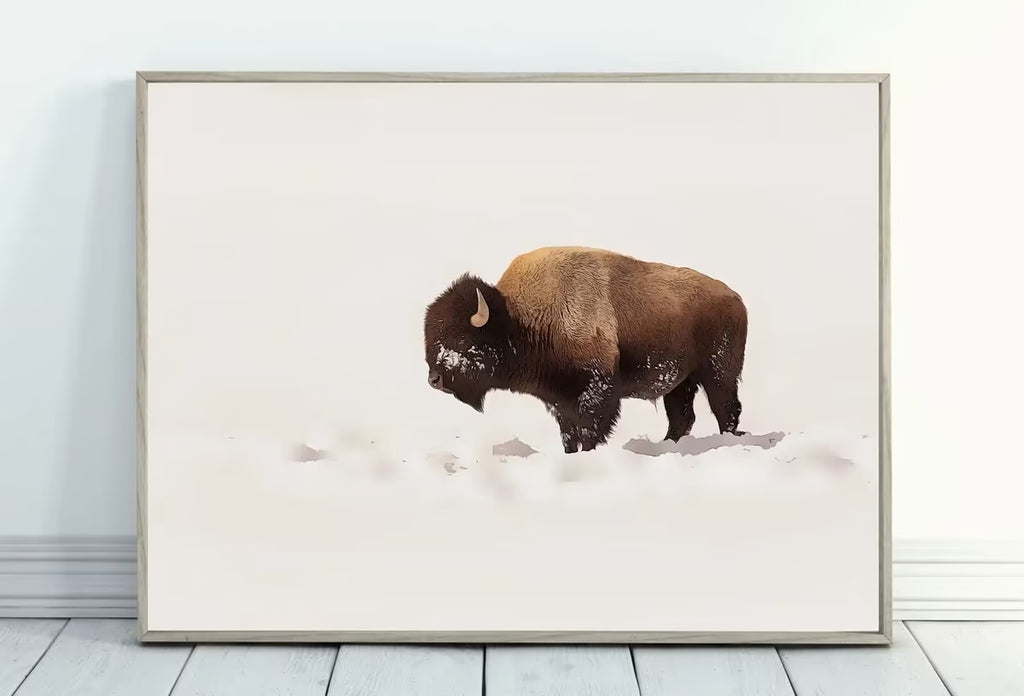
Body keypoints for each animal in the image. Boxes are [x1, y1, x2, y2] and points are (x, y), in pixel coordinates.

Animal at [423, 246, 748, 453]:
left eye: (461, 339)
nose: (434, 380)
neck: (519, 318)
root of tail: (734, 297)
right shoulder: (559, 400)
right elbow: (569, 434)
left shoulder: (596, 391)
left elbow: (590, 430)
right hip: (681, 382)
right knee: (682, 417)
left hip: (718, 373)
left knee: (726, 409)